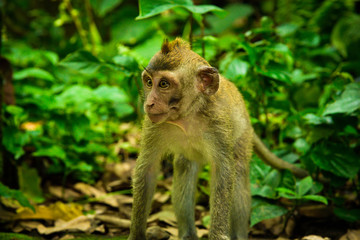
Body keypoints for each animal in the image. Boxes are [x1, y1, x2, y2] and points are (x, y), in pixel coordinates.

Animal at [126, 38, 306, 239]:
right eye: (149, 82)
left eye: (164, 84)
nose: (149, 103)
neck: (188, 114)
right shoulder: (153, 124)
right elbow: (147, 170)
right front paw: (136, 234)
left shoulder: (218, 123)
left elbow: (224, 174)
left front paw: (218, 234)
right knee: (184, 167)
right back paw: (188, 234)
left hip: (243, 136)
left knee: (239, 171)